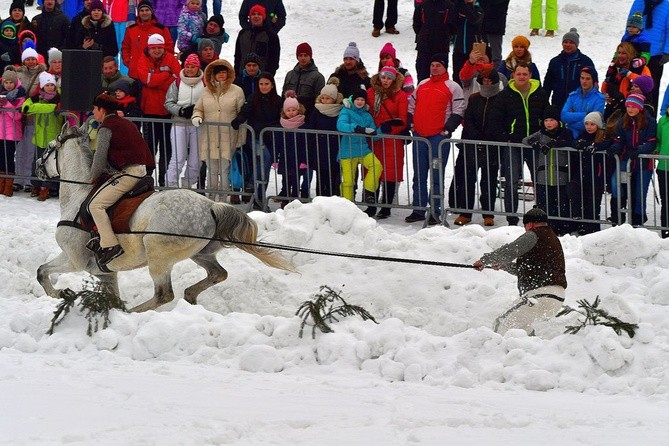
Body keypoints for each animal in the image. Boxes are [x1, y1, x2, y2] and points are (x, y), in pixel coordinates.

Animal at [36, 121, 292, 310]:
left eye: (49, 147)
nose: (38, 165)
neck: (78, 195)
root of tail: (211, 206)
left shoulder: (74, 259)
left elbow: (41, 272)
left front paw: (59, 293)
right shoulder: (104, 273)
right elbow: (111, 298)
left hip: (158, 254)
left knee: (164, 294)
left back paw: (136, 311)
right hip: (201, 253)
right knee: (218, 274)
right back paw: (190, 295)